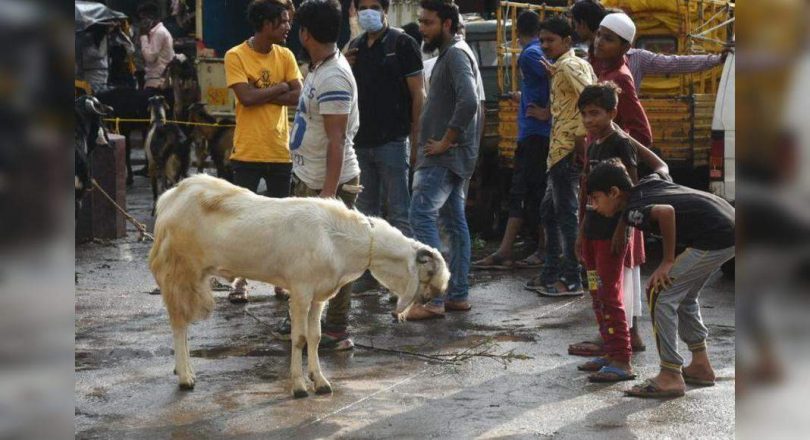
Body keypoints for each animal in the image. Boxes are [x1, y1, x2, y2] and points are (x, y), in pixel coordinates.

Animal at [148, 174, 450, 396]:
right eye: (428, 271)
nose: (430, 299)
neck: (339, 239)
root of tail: (170, 197)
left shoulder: (320, 295)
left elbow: (315, 337)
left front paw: (321, 382)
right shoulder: (301, 290)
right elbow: (300, 338)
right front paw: (299, 387)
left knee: (183, 325)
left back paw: (185, 371)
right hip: (179, 272)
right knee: (178, 324)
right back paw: (185, 377)